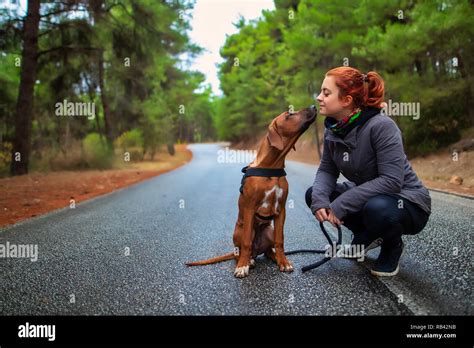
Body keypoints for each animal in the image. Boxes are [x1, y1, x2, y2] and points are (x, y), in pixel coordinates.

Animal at [187, 104, 316, 278]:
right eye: (289, 115)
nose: (314, 106)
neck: (271, 167)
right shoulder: (249, 209)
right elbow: (247, 242)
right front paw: (242, 266)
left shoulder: (281, 210)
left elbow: (280, 241)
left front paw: (283, 262)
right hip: (238, 232)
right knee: (240, 251)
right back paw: (247, 260)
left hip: (269, 230)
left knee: (268, 250)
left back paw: (273, 257)